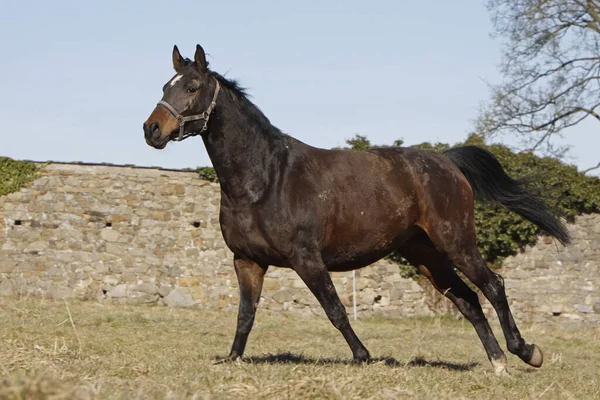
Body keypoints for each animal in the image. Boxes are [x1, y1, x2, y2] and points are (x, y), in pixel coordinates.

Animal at [143, 44, 568, 376]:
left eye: (193, 87)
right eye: (166, 86)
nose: (152, 130)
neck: (264, 179)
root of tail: (448, 163)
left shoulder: (306, 258)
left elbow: (335, 310)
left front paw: (364, 356)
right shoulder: (247, 261)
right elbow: (245, 314)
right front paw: (232, 359)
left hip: (457, 243)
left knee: (493, 286)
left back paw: (526, 352)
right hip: (425, 254)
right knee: (467, 300)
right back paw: (498, 362)